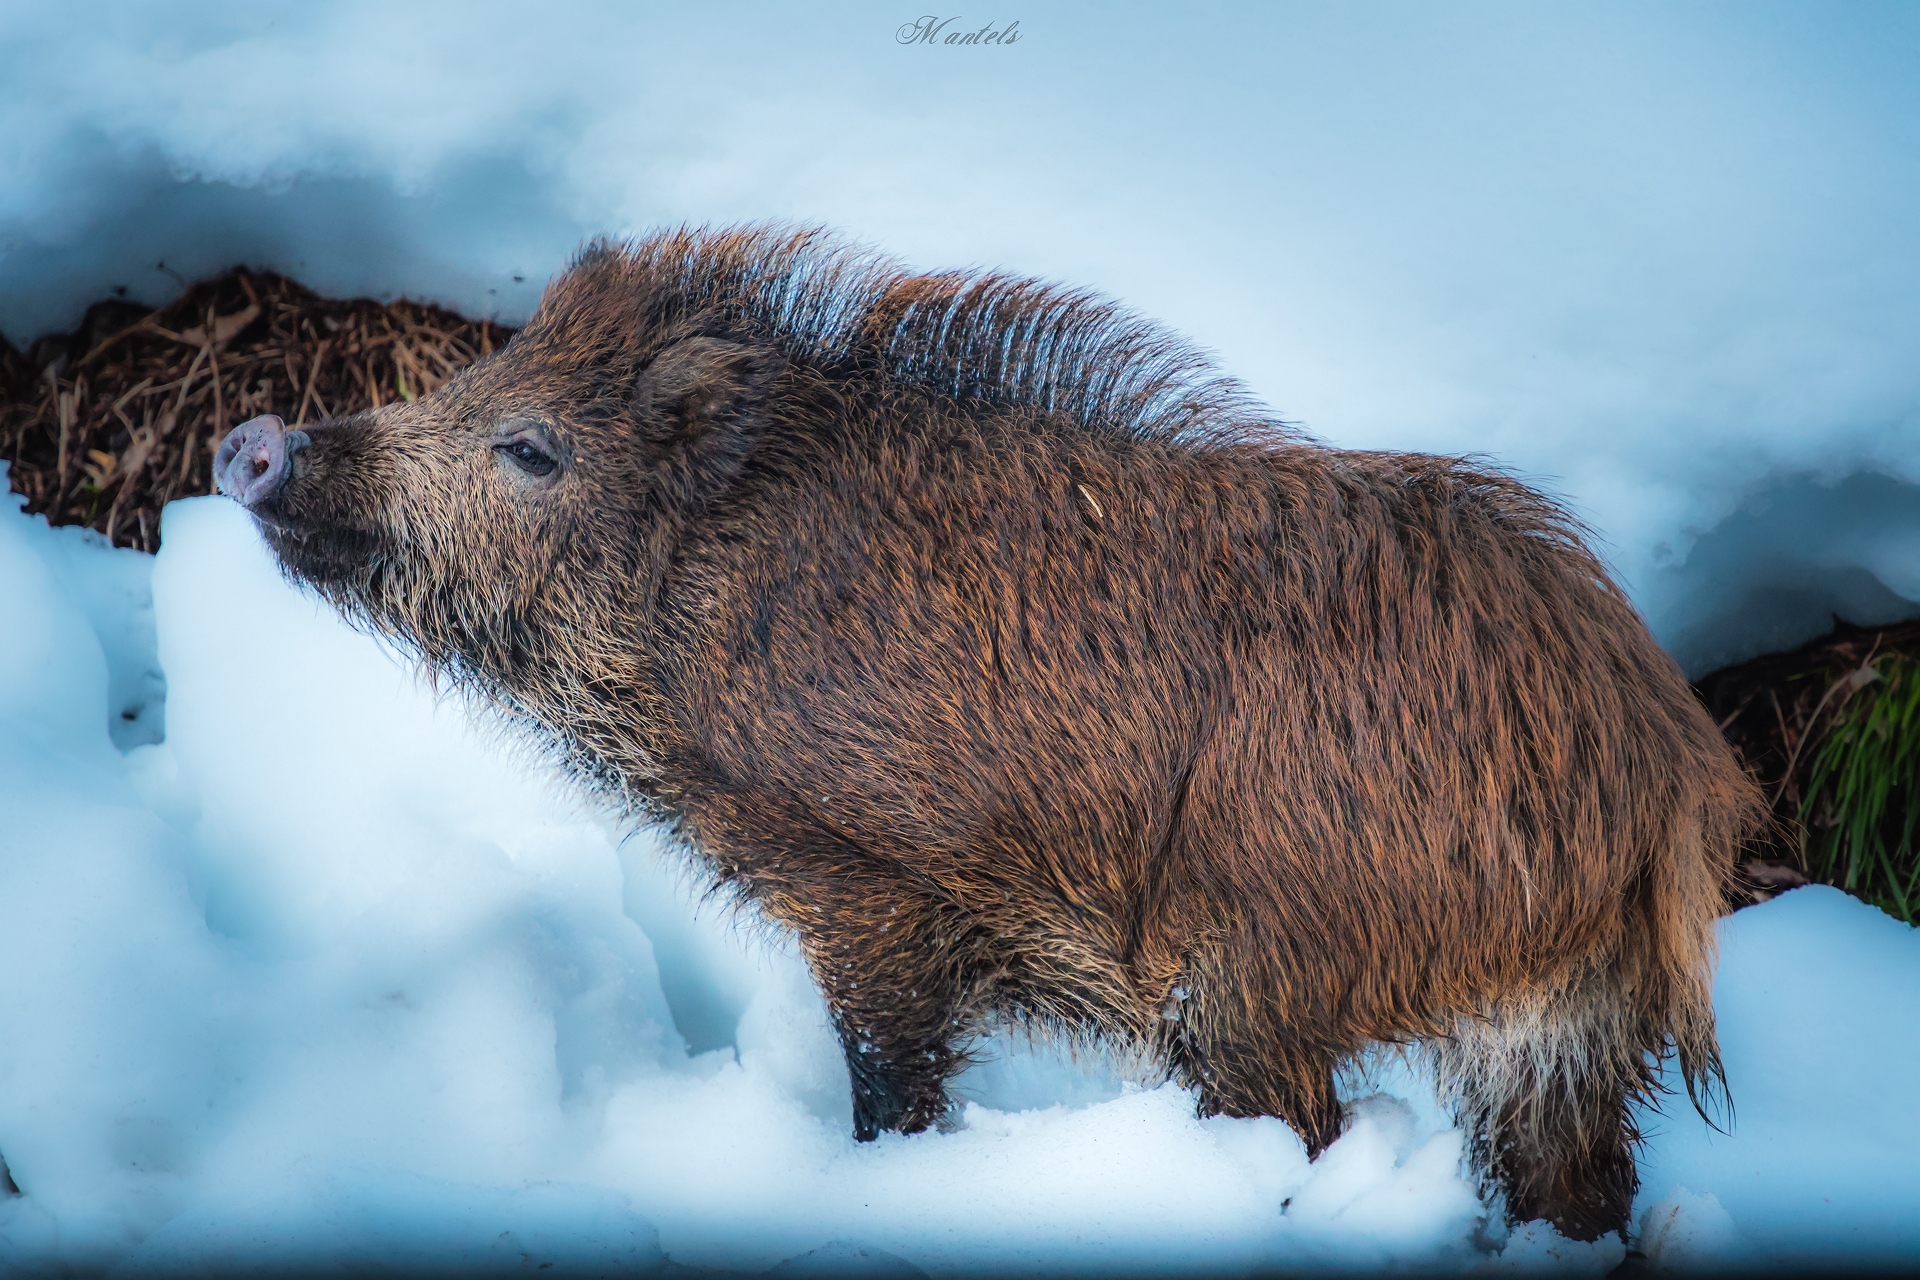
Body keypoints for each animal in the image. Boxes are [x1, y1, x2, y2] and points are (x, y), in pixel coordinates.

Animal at [215, 225, 1764, 1242]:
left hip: (1255, 976)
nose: (252, 438)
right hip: (1563, 1029)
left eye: (528, 447)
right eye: (464, 389)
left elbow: (890, 1072)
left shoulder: (866, 885)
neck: (691, 609)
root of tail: (1667, 773)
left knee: (1306, 1131)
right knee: (1577, 1186)